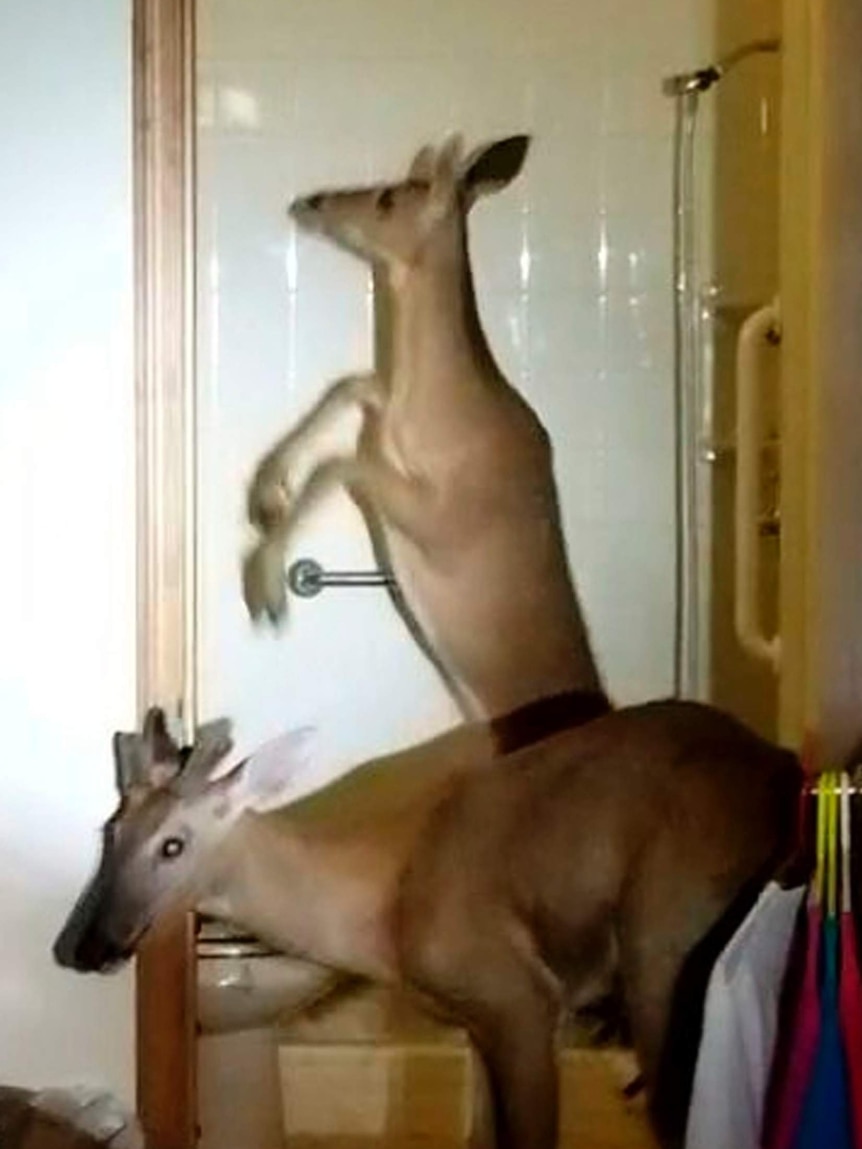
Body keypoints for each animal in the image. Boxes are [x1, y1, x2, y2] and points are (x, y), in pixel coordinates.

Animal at [240, 136, 611, 726]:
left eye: (389, 198)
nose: (311, 201)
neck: (440, 414)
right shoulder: (382, 409)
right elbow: (347, 386)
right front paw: (264, 494)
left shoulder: (435, 517)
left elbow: (336, 463)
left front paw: (266, 586)